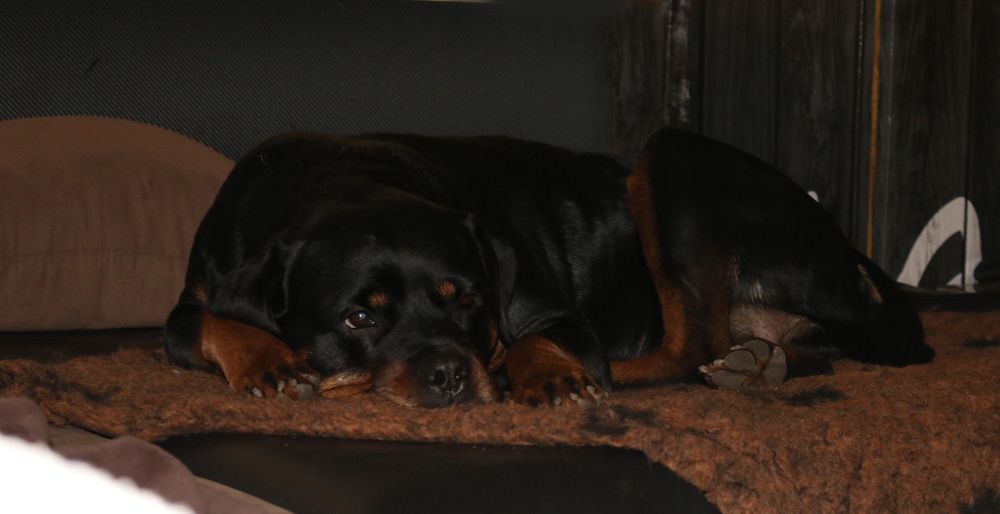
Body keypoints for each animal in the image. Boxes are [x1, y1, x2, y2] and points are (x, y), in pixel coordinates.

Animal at [164, 128, 935, 407]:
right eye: (358, 318)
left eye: (468, 300)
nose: (450, 374)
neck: (338, 179)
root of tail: (844, 244)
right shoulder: (196, 293)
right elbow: (207, 320)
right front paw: (267, 358)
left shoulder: (548, 303)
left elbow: (543, 335)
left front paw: (548, 372)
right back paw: (761, 364)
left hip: (673, 156)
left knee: (691, 347)